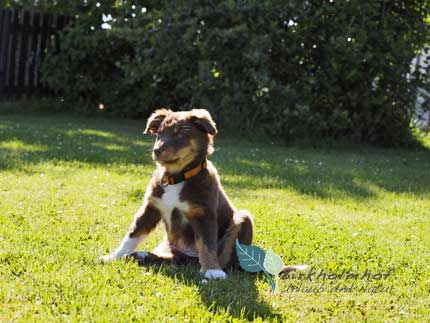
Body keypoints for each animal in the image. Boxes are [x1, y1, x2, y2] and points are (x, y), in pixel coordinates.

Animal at [100, 109, 255, 280]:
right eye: (159, 134)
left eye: (180, 134)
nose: (156, 150)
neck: (177, 178)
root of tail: (190, 258)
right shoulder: (151, 208)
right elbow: (132, 234)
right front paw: (113, 256)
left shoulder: (204, 214)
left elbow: (207, 244)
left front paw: (213, 270)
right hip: (169, 245)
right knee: (174, 257)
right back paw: (143, 255)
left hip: (243, 219)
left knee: (227, 258)